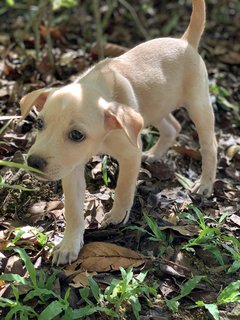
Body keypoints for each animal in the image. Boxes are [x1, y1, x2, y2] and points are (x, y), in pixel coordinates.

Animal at [20, 0, 218, 264]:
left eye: (77, 135)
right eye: (39, 124)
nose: (33, 162)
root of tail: (185, 41)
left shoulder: (129, 154)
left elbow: (124, 186)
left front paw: (117, 215)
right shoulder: (71, 167)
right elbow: (73, 208)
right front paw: (69, 244)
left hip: (198, 105)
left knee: (209, 144)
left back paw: (205, 183)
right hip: (155, 107)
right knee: (172, 126)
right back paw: (154, 154)